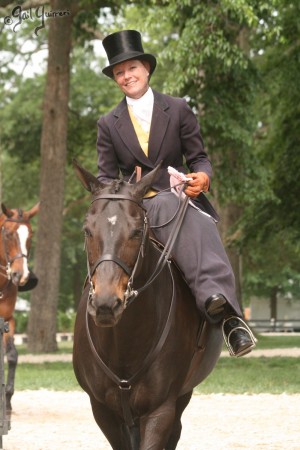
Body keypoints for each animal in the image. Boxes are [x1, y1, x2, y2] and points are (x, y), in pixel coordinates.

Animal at [72, 163, 223, 450]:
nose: (107, 303)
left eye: (136, 232)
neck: (123, 341)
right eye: (86, 230)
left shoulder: (160, 410)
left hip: (182, 396)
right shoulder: (103, 411)